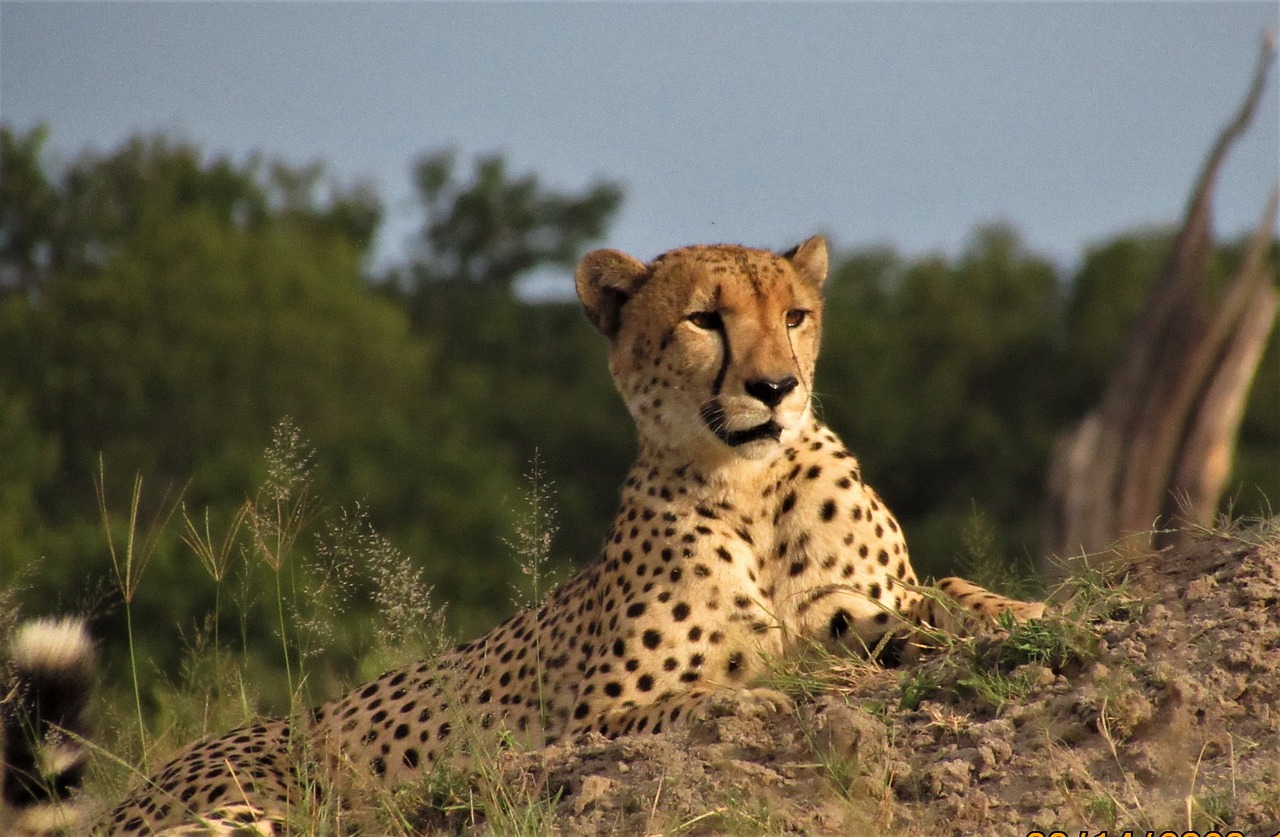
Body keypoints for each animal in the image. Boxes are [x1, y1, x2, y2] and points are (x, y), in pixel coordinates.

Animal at [0, 234, 1039, 834]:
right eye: (704, 319)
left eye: (795, 315)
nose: (777, 388)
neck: (752, 489)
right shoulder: (593, 719)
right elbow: (722, 691)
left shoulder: (869, 599)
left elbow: (948, 599)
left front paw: (1011, 616)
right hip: (242, 804)